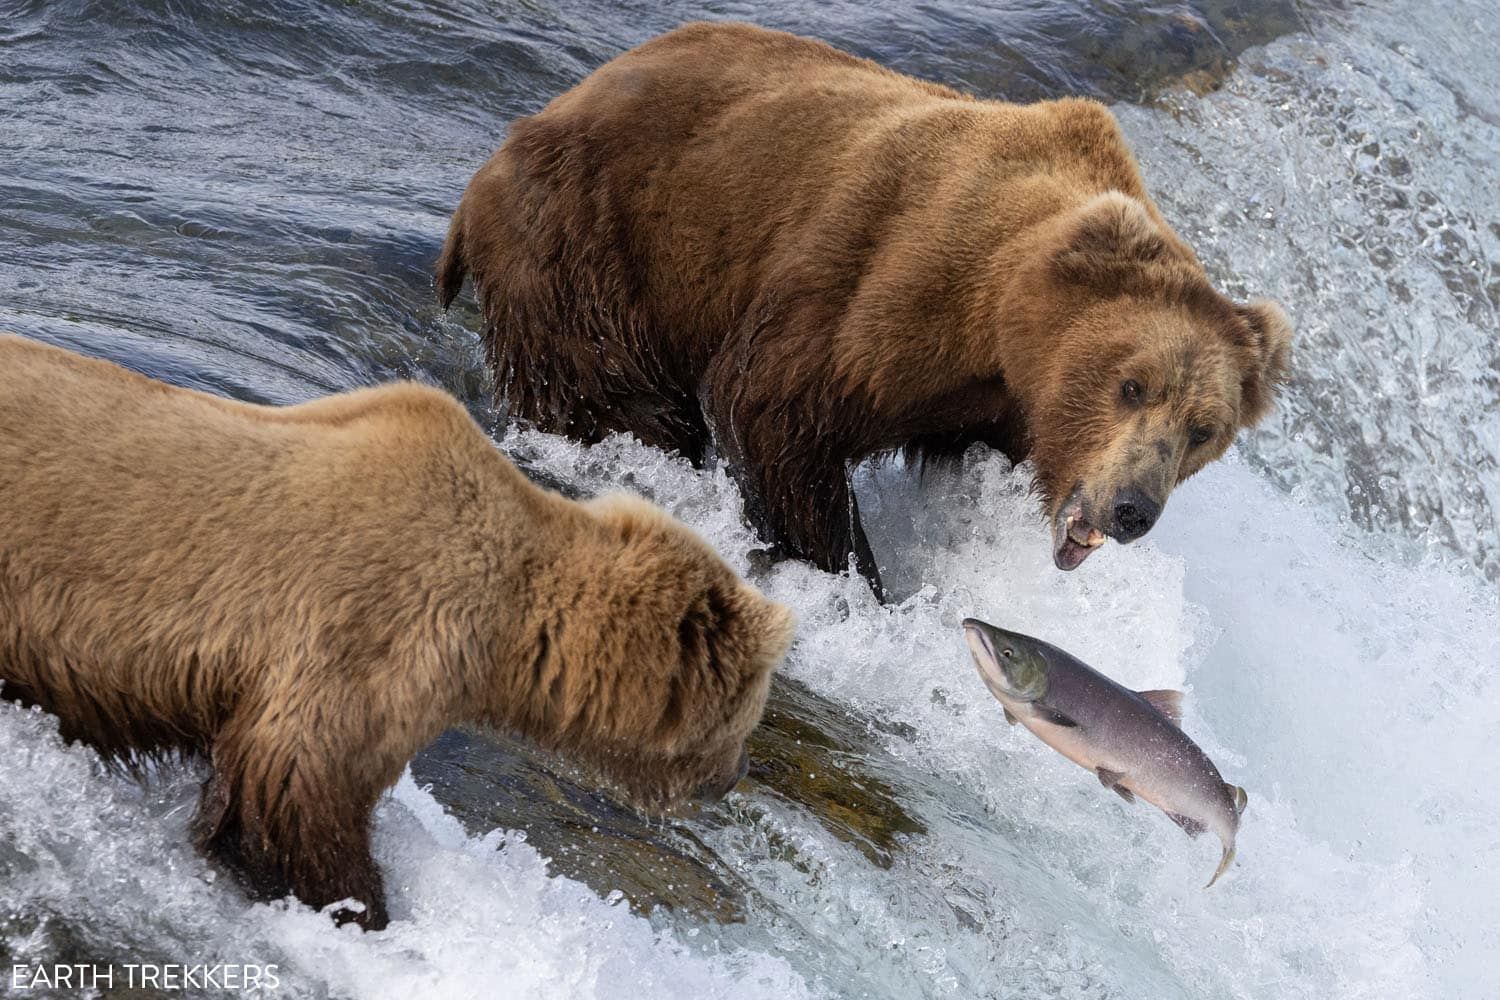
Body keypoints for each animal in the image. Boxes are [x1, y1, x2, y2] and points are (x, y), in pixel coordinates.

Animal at [0, 334, 798, 929]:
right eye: (750, 711)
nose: (737, 773)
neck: (509, 626)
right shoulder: (376, 625)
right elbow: (301, 785)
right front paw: (357, 906)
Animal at [435, 19, 1290, 593]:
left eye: (1204, 430)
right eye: (1131, 384)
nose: (1133, 508)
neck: (999, 327)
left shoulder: (989, 408)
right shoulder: (889, 294)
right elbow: (773, 410)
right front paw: (853, 576)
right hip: (590, 245)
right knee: (612, 397)